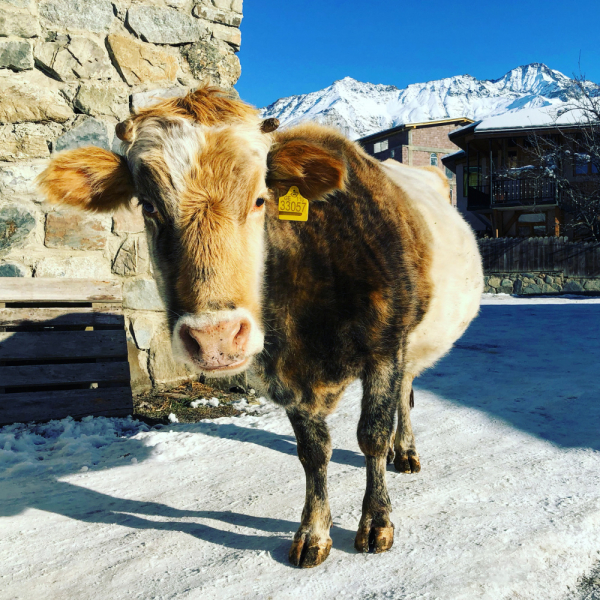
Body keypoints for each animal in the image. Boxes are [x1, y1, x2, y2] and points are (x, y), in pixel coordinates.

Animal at [38, 86, 482, 568]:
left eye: (259, 199)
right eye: (148, 205)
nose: (214, 336)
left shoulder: (384, 350)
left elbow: (372, 437)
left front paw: (377, 521)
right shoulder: (285, 377)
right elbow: (313, 453)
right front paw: (313, 531)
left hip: (410, 345)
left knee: (404, 395)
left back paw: (406, 451)